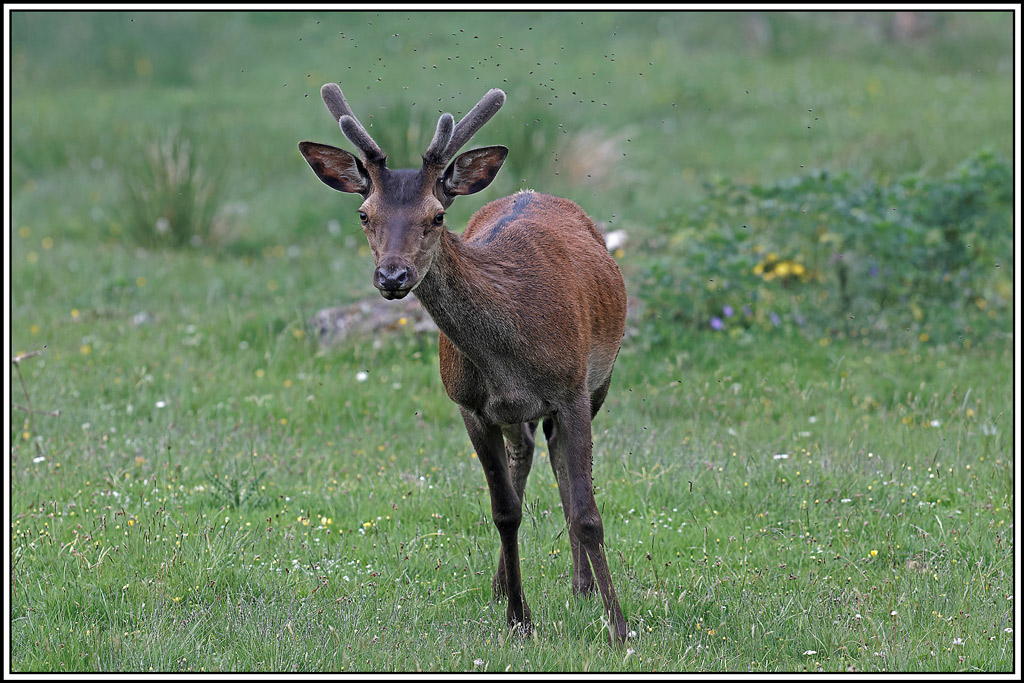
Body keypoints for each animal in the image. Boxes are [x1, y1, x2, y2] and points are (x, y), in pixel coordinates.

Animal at [299, 83, 629, 645]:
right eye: (364, 214)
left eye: (437, 215)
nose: (392, 276)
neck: (509, 357)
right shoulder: (470, 406)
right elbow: (504, 511)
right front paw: (519, 617)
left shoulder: (571, 389)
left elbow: (588, 513)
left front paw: (621, 626)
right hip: (517, 414)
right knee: (529, 455)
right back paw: (503, 586)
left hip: (598, 382)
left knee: (563, 467)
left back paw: (582, 586)